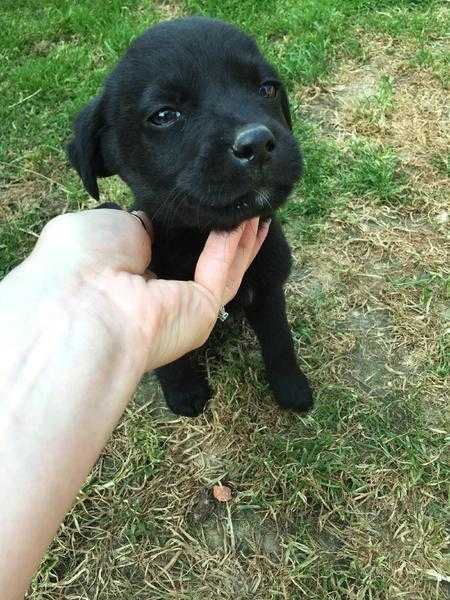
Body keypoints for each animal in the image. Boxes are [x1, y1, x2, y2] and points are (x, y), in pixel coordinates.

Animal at [67, 15, 312, 418]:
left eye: (267, 89)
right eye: (165, 115)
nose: (257, 143)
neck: (200, 237)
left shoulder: (269, 286)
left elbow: (279, 340)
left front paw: (292, 388)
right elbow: (170, 357)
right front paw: (185, 393)